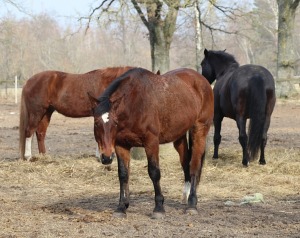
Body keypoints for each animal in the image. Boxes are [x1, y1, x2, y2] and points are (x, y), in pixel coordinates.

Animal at [89, 66, 213, 218]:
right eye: (96, 123)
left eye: (115, 123)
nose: (106, 157)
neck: (134, 105)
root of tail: (202, 80)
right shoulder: (121, 145)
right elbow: (123, 174)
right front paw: (121, 207)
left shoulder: (151, 142)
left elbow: (154, 172)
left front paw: (159, 208)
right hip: (179, 136)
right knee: (186, 164)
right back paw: (186, 196)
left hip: (199, 130)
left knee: (195, 165)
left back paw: (192, 204)